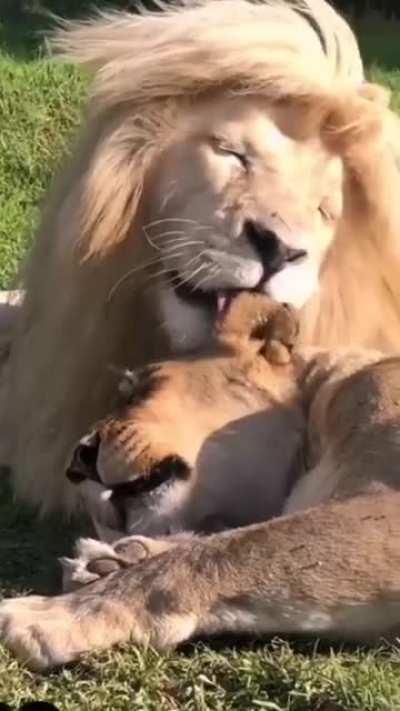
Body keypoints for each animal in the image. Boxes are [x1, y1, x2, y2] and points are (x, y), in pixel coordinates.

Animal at [2, 292, 400, 670]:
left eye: (137, 391)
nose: (76, 462)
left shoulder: (385, 507)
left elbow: (225, 552)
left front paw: (49, 613)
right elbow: (226, 541)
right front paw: (109, 561)